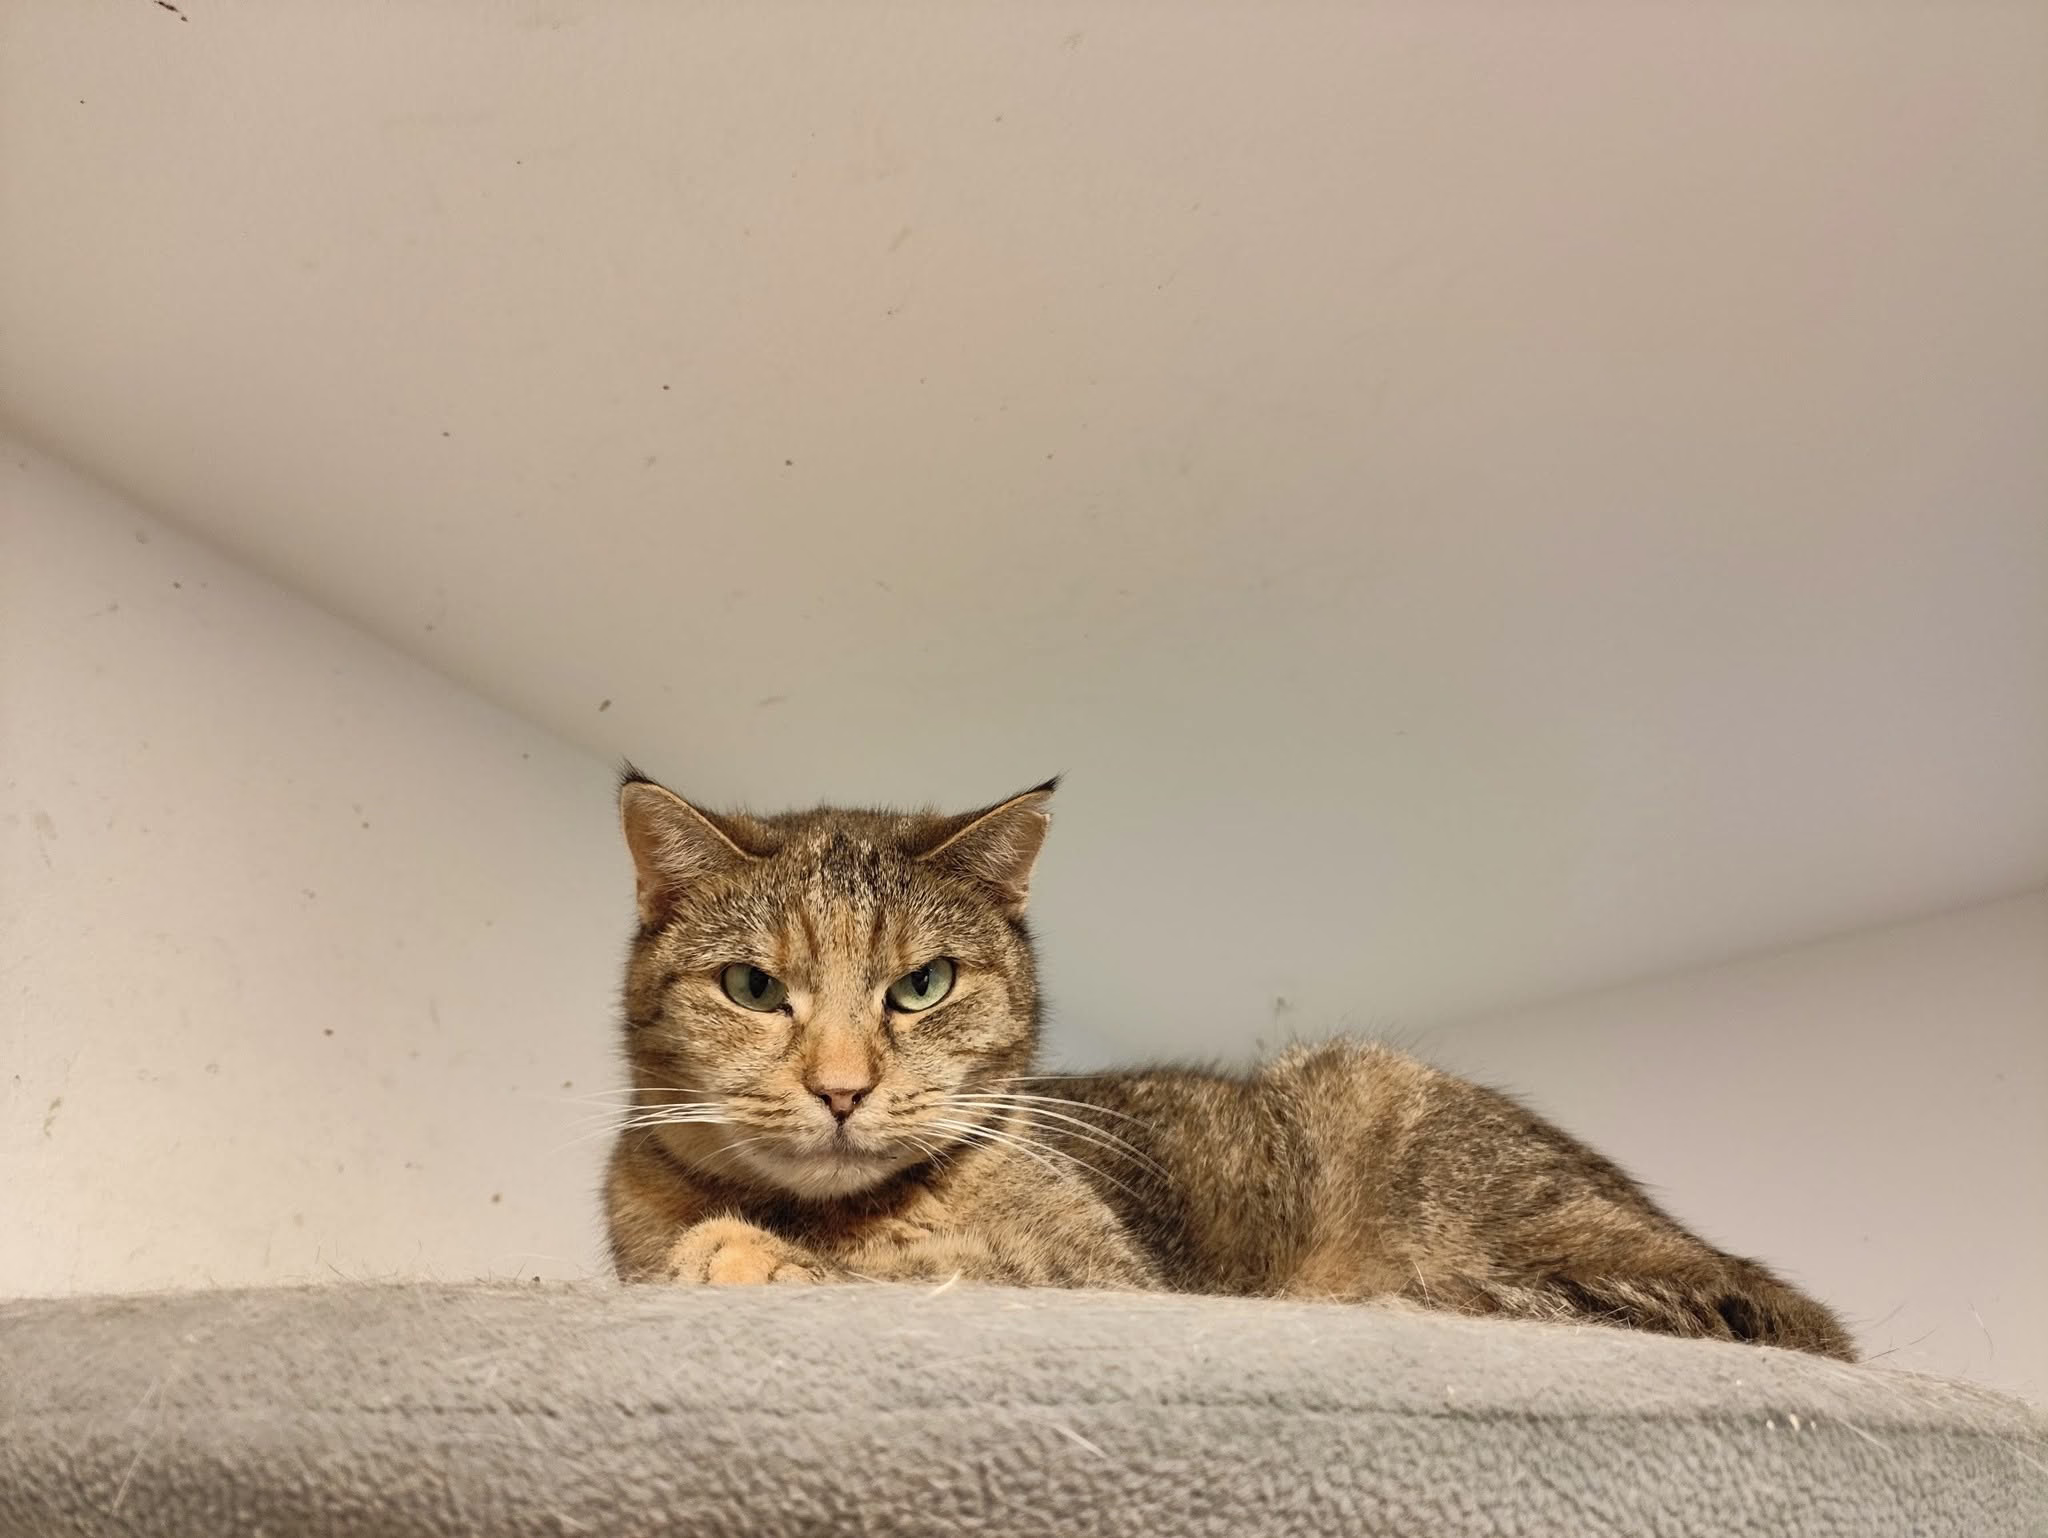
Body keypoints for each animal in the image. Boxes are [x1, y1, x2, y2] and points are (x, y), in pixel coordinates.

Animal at [604, 770, 1855, 1359]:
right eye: (752, 987)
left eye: (922, 984)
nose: (840, 1085)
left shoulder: (1098, 1283)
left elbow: (928, 1273)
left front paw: (743, 1255)